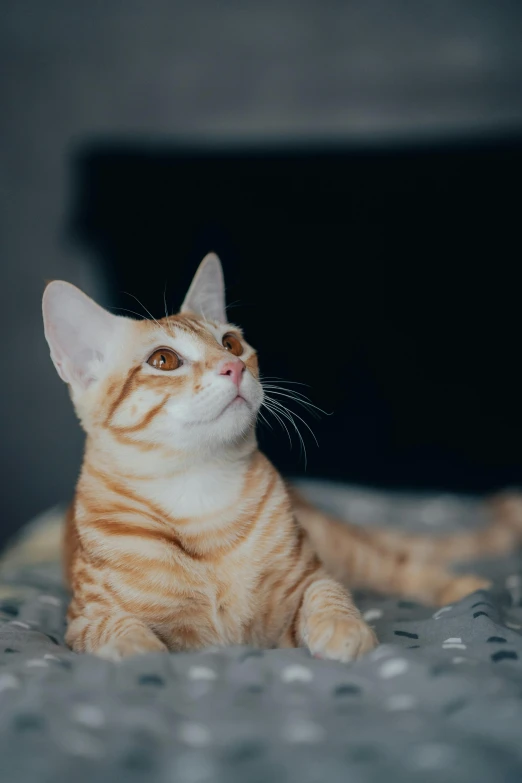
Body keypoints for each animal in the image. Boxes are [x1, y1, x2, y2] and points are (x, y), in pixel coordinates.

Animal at [42, 256, 520, 660]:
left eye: (231, 342)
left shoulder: (307, 582)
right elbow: (117, 632)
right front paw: (143, 653)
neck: (200, 497)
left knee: (397, 564)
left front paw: (344, 629)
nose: (233, 367)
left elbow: (328, 594)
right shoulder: (83, 619)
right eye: (163, 359)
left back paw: (470, 588)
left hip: (341, 545)